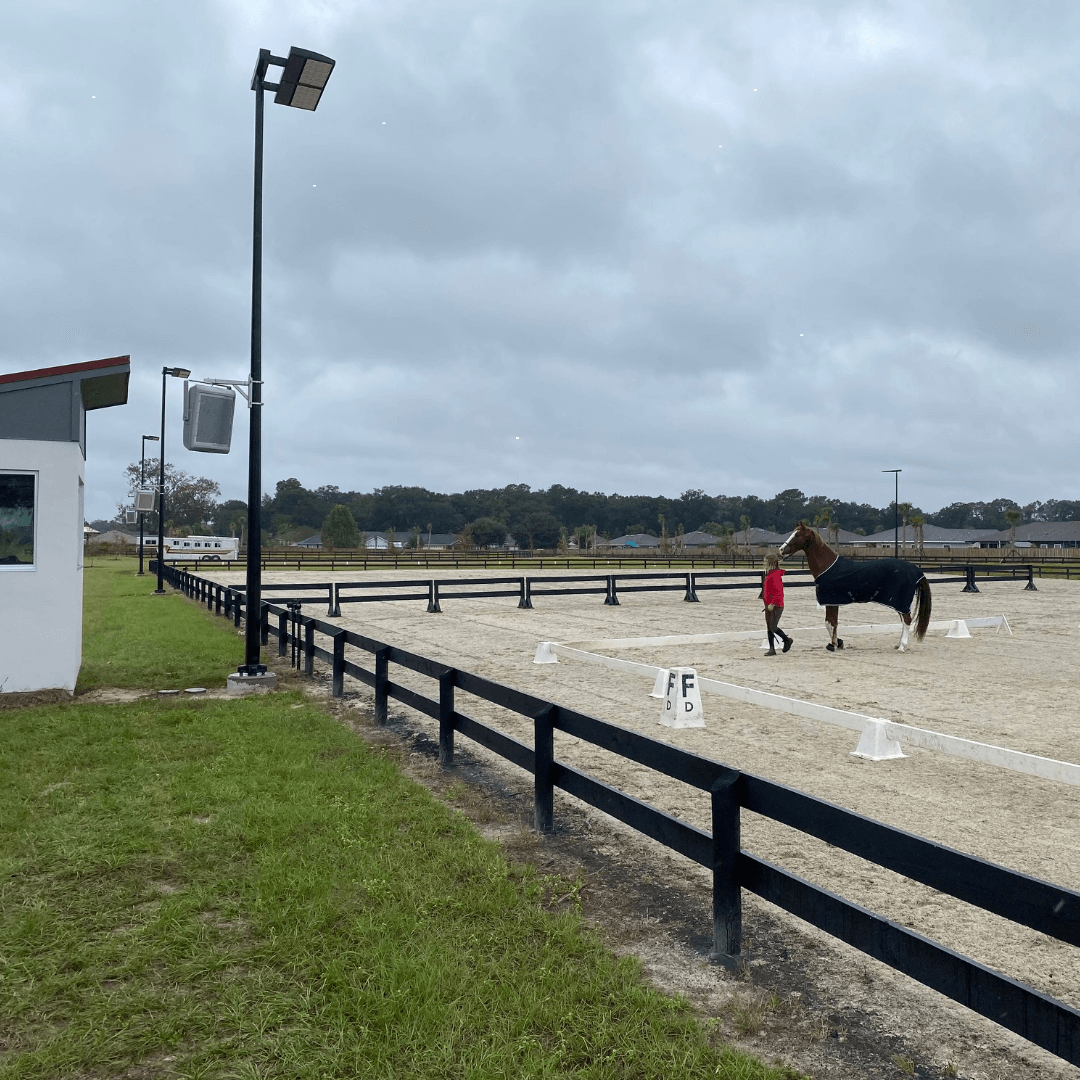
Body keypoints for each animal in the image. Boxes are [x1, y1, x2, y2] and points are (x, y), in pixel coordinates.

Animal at [781, 520, 933, 648]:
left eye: (797, 535)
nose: (781, 550)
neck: (828, 567)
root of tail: (916, 570)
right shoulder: (833, 602)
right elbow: (831, 623)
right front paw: (837, 643)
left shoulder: (832, 601)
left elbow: (830, 623)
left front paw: (834, 645)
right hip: (898, 603)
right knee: (904, 620)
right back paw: (898, 644)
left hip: (899, 601)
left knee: (907, 620)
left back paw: (902, 647)